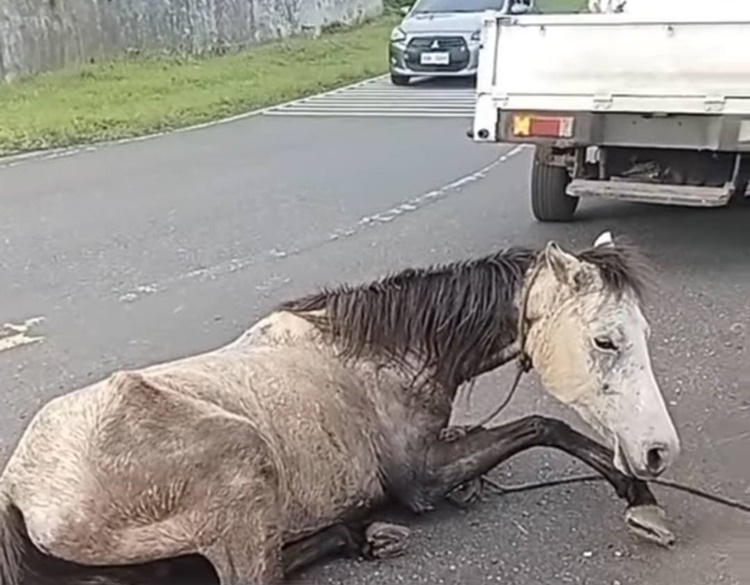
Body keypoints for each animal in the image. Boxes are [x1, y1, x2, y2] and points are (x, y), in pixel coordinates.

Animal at [0, 231, 681, 585]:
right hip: (243, 467)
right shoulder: (420, 478)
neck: (385, 349)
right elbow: (545, 424)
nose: (657, 452)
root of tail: (20, 488)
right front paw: (639, 499)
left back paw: (362, 535)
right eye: (606, 340)